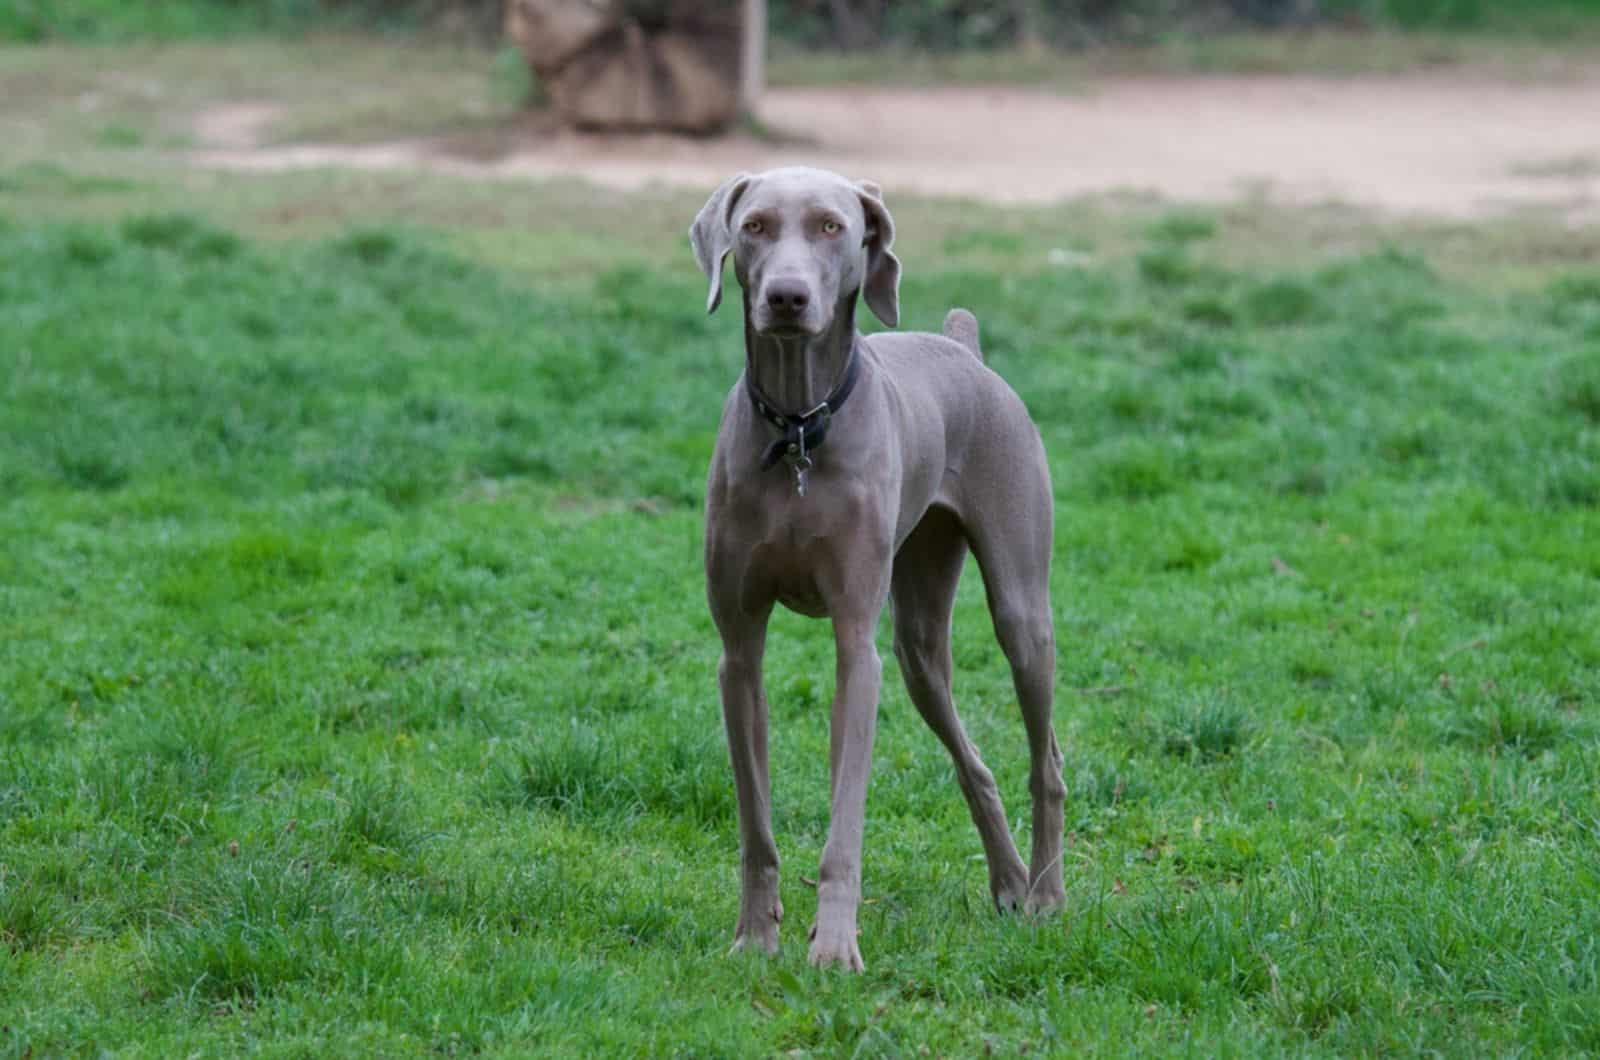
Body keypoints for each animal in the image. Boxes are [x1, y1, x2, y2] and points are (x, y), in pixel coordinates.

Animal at [688, 166, 1062, 973]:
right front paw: (757, 935)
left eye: (833, 227)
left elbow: (845, 819)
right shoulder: (739, 653)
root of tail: (965, 350)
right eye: (754, 226)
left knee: (1043, 758)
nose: (787, 298)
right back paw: (1009, 883)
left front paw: (832, 949)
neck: (799, 430)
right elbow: (755, 821)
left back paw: (1048, 894)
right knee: (973, 760)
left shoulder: (856, 647)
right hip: (918, 645)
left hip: (1021, 612)